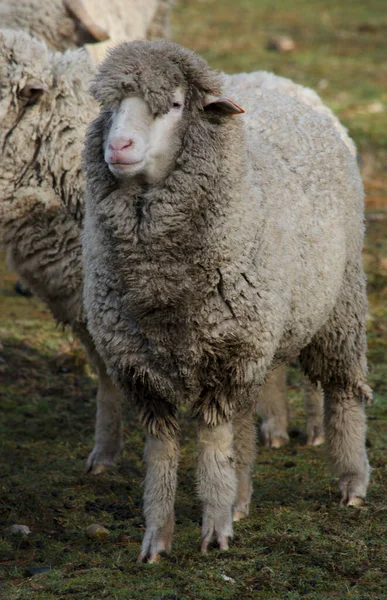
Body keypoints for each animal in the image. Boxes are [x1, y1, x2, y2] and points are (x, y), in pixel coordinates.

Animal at [82, 41, 372, 564]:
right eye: (110, 107)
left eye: (175, 105)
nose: (118, 148)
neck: (161, 286)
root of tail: (279, 85)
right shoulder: (142, 366)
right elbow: (163, 454)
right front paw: (157, 538)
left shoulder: (225, 357)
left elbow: (214, 443)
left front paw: (214, 530)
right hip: (261, 334)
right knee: (245, 418)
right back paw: (241, 498)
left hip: (338, 306)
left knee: (343, 392)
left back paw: (352, 481)